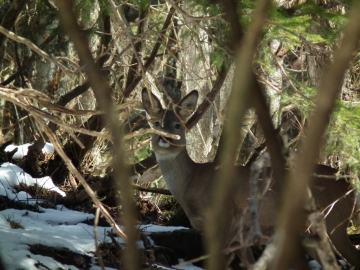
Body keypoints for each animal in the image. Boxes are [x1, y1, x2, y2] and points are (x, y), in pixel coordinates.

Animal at [141, 87, 360, 268]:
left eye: (178, 125)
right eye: (156, 123)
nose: (164, 138)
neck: (192, 182)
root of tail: (349, 186)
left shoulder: (225, 218)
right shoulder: (236, 233)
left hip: (335, 221)